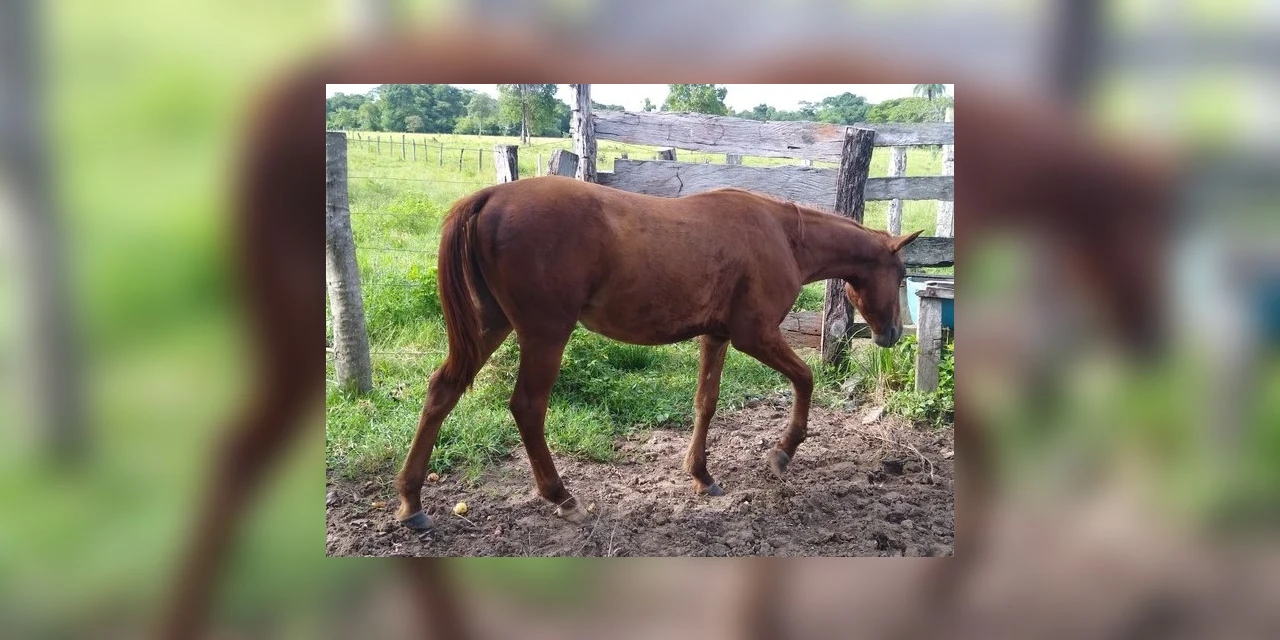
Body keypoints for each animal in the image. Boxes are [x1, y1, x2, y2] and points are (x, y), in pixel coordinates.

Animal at [394, 176, 923, 529]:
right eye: (900, 274)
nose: (893, 334)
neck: (782, 235)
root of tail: (489, 198)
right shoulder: (755, 335)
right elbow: (805, 380)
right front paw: (782, 453)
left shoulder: (717, 336)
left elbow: (705, 404)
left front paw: (702, 475)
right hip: (544, 334)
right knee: (527, 407)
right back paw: (561, 496)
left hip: (492, 327)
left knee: (442, 391)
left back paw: (412, 503)